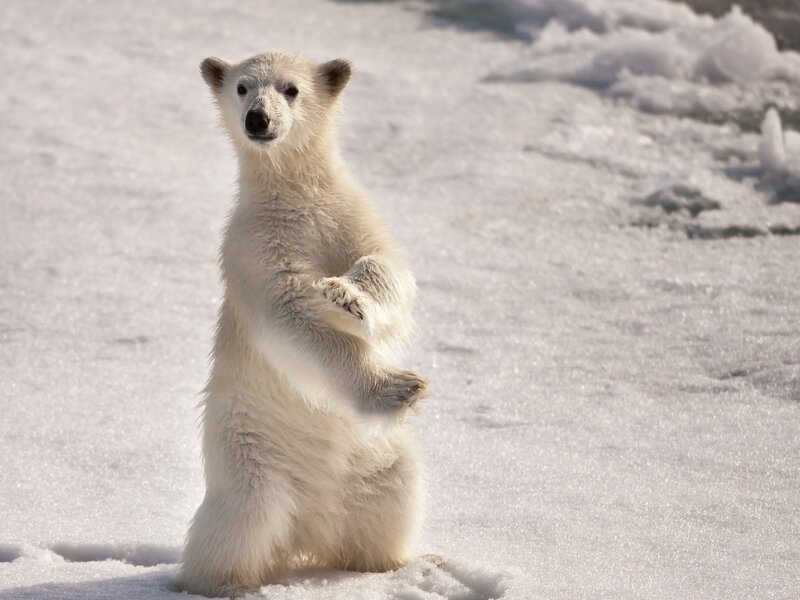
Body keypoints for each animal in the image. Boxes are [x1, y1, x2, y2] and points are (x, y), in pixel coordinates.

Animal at [179, 51, 429, 598]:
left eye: (291, 89)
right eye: (242, 87)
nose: (258, 119)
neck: (294, 195)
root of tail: (309, 531)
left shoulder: (349, 215)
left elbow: (388, 267)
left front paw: (348, 297)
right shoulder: (255, 247)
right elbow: (292, 315)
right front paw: (399, 388)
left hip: (377, 461)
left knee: (391, 501)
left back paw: (396, 566)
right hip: (251, 455)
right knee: (240, 525)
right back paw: (222, 583)